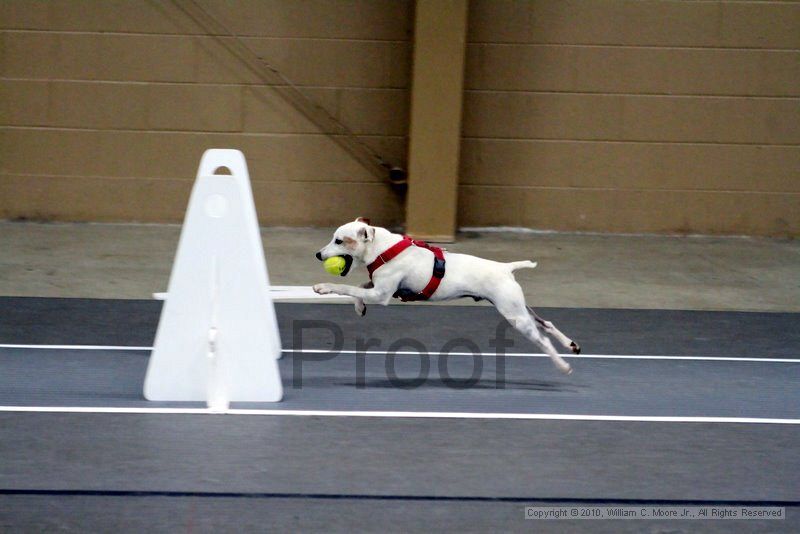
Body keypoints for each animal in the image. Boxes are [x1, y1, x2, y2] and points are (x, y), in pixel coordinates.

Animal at [314, 218, 580, 376]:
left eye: (339, 240)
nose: (318, 254)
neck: (384, 249)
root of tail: (506, 268)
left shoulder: (381, 294)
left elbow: (347, 287)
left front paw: (324, 287)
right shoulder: (377, 287)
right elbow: (358, 286)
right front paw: (359, 308)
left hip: (516, 317)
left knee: (543, 340)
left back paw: (563, 365)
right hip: (520, 309)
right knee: (547, 324)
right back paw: (571, 345)